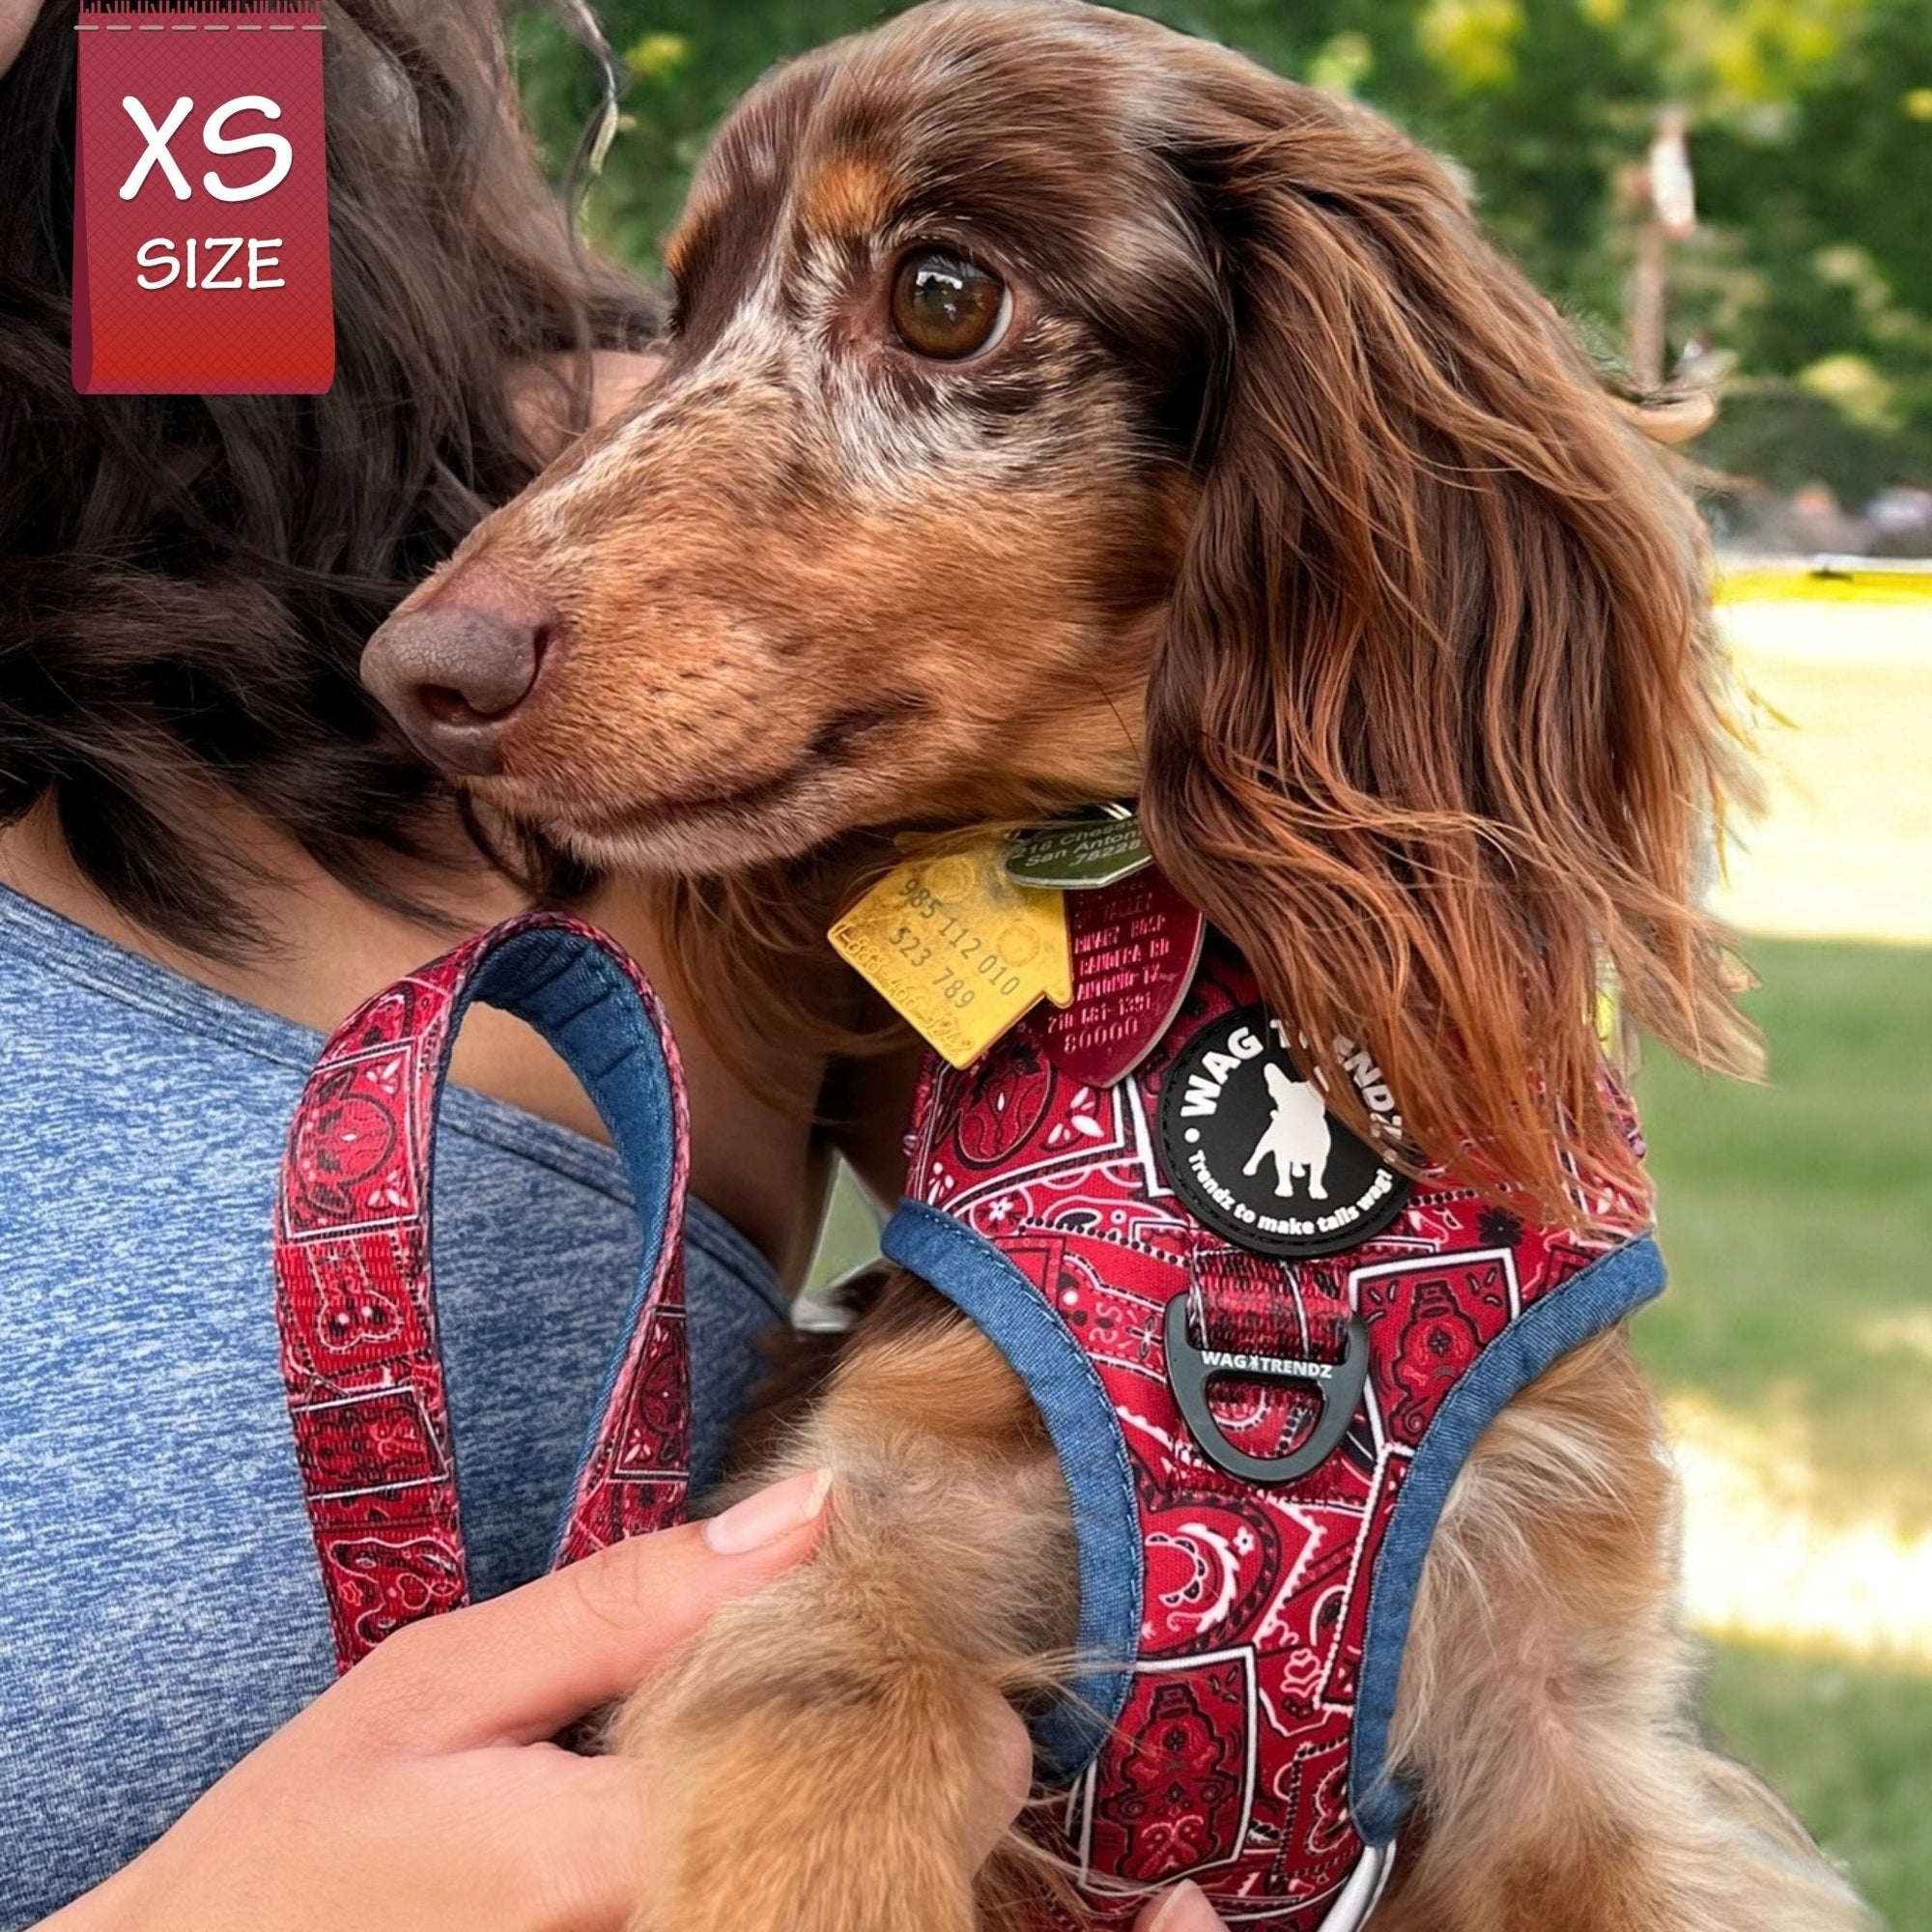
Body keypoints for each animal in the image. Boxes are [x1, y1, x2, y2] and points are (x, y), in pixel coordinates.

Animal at [359, 7, 1870, 1924]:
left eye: (944, 294)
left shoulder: (1577, 1721)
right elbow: (839, 1802)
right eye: (683, 309)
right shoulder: (850, 1558)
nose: (415, 672)